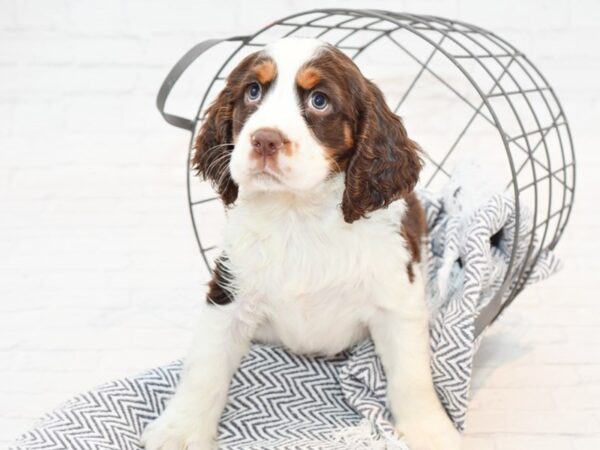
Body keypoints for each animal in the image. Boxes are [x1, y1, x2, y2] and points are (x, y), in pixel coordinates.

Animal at [141, 37, 460, 450]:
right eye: (253, 91)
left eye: (319, 100)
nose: (265, 139)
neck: (298, 215)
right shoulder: (230, 290)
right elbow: (205, 365)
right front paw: (179, 430)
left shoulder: (396, 297)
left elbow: (411, 376)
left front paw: (431, 432)